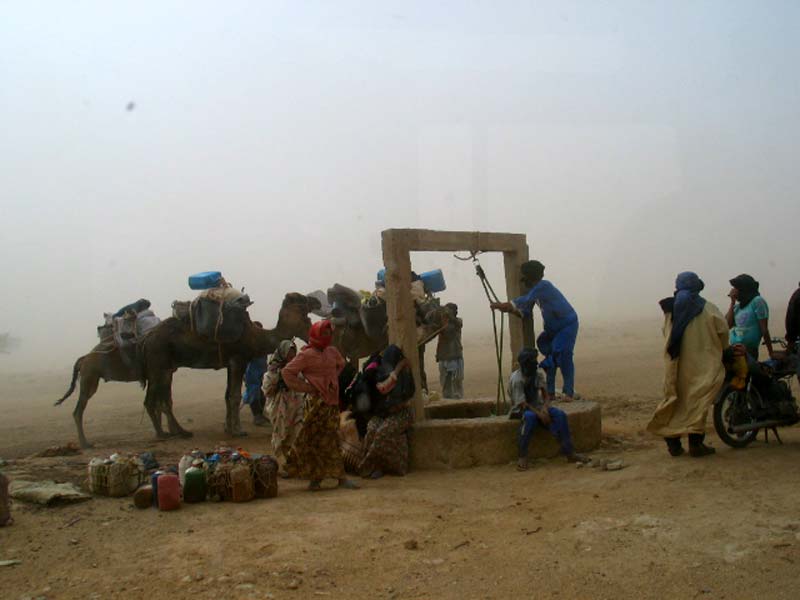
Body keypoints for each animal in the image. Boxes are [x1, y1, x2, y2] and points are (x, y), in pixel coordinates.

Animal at [138, 292, 318, 438]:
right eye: (305, 316)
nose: (315, 300)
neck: (256, 336)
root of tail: (147, 338)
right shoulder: (238, 360)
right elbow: (235, 395)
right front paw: (238, 430)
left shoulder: (230, 364)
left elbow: (227, 395)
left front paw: (228, 429)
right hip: (158, 363)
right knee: (154, 400)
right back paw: (164, 434)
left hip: (164, 367)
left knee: (161, 400)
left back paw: (178, 431)